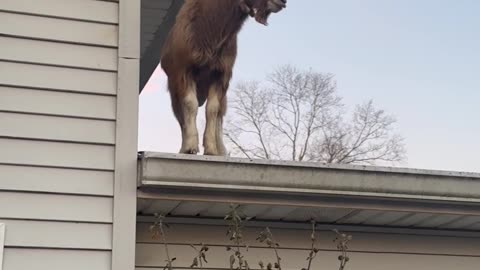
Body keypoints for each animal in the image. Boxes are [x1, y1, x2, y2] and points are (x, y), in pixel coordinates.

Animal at [161, 0, 288, 155]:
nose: (283, 2)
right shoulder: (183, 70)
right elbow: (190, 105)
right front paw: (190, 147)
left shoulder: (221, 75)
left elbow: (213, 109)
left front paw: (211, 149)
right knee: (180, 115)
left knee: (220, 114)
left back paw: (221, 149)